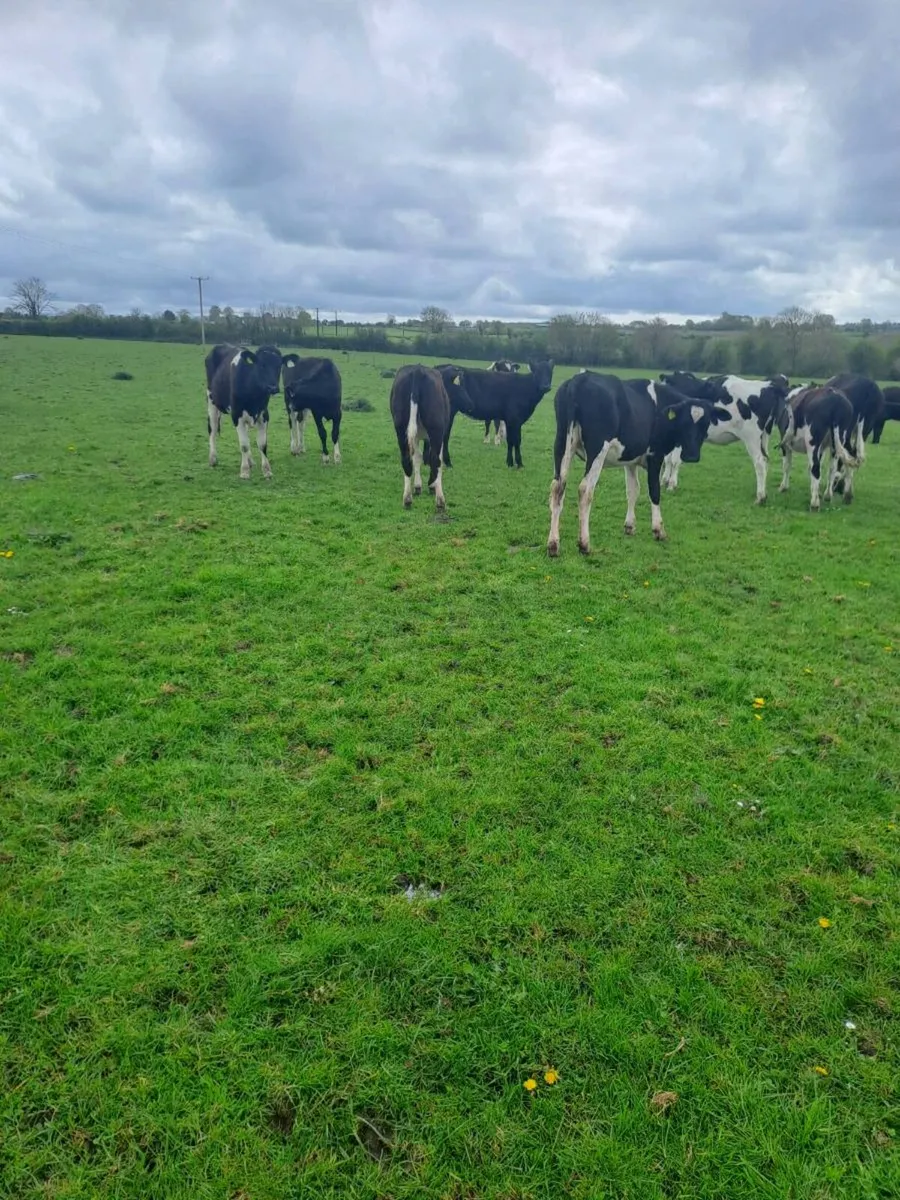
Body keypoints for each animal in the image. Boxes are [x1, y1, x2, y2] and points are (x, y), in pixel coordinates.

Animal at [206, 343, 290, 479]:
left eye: (279, 366)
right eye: (261, 365)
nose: (273, 387)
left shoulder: (264, 415)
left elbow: (262, 444)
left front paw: (266, 470)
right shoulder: (237, 415)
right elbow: (244, 445)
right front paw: (244, 471)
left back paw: (250, 461)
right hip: (211, 401)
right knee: (212, 429)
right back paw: (213, 459)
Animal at [389, 364, 465, 511]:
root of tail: (417, 370)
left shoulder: (416, 437)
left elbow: (417, 457)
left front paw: (418, 486)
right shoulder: (438, 435)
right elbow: (432, 459)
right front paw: (431, 485)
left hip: (401, 429)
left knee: (406, 459)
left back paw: (407, 499)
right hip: (436, 429)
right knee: (436, 460)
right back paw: (440, 500)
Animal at [547, 372, 730, 556]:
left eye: (705, 423)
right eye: (685, 422)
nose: (692, 455)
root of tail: (579, 379)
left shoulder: (630, 460)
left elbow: (633, 490)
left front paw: (629, 526)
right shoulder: (655, 455)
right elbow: (654, 491)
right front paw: (658, 530)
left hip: (562, 444)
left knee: (558, 487)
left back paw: (553, 544)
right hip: (597, 450)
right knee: (585, 490)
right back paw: (584, 544)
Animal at [658, 372, 791, 503]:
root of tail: (769, 385)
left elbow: (675, 460)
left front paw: (671, 485)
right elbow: (667, 459)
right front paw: (664, 481)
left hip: (751, 437)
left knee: (760, 462)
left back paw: (760, 497)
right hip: (764, 436)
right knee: (766, 459)